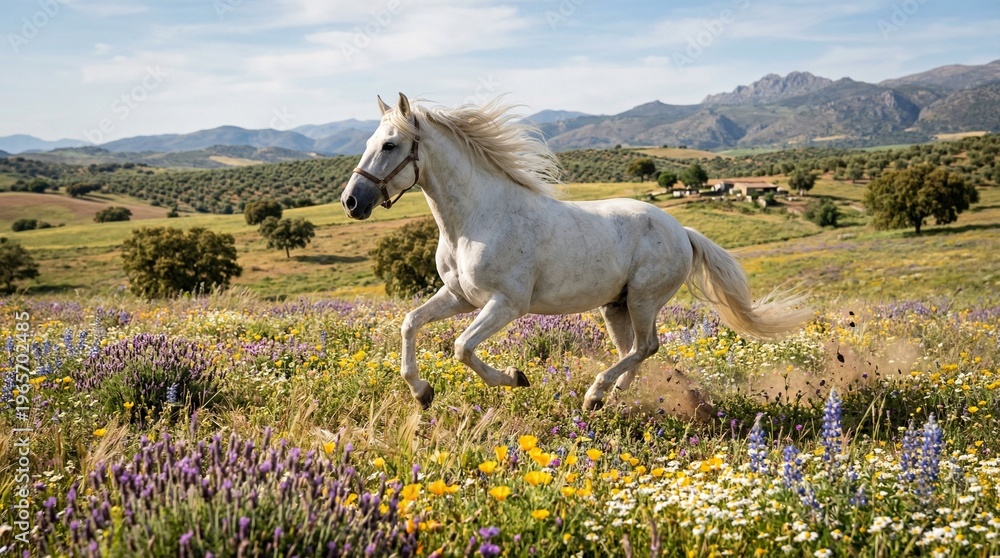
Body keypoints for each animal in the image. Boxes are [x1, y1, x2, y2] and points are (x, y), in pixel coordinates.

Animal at [341, 93, 810, 411]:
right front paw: (422, 393)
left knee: (647, 346)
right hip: (616, 306)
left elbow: (461, 348)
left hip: (644, 299)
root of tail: (683, 231)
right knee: (634, 350)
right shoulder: (461, 297)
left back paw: (594, 394)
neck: (476, 219)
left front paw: (516, 378)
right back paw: (612, 394)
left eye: (389, 145)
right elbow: (410, 323)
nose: (351, 201)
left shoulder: (506, 304)